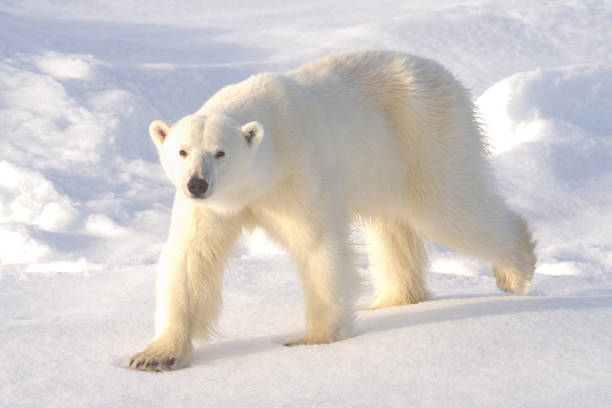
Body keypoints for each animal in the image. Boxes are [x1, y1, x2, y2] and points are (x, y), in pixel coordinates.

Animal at [125, 50, 536, 370]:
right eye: (182, 151)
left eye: (220, 152)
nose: (197, 184)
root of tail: (444, 74)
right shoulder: (212, 208)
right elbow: (192, 258)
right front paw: (153, 356)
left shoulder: (300, 169)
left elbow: (318, 244)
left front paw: (312, 341)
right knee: (393, 227)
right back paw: (391, 301)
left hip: (426, 136)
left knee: (448, 207)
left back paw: (516, 270)